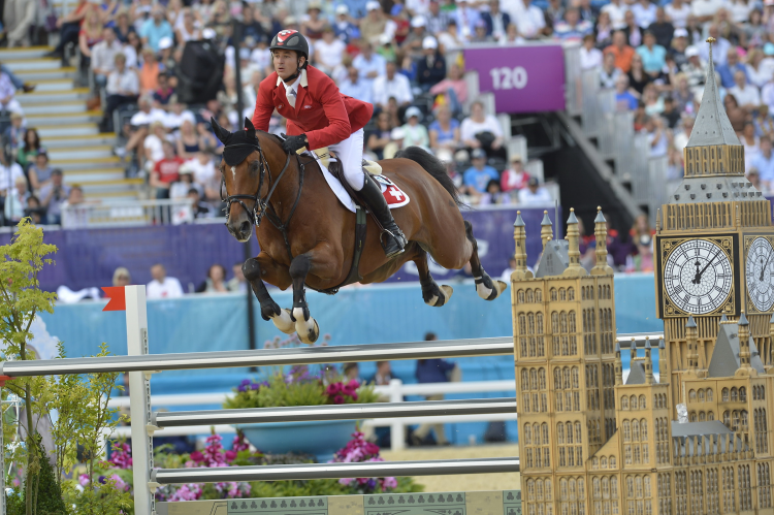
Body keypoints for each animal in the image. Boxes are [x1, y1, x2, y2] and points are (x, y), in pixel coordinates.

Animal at [214, 119, 510, 344]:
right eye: (222, 169)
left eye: (255, 166)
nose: (238, 226)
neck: (286, 205)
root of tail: (414, 167)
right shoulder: (278, 268)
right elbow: (250, 267)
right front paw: (282, 317)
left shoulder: (333, 263)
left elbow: (299, 265)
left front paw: (304, 324)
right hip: (380, 267)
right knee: (415, 251)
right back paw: (434, 292)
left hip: (445, 243)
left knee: (466, 238)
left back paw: (487, 285)